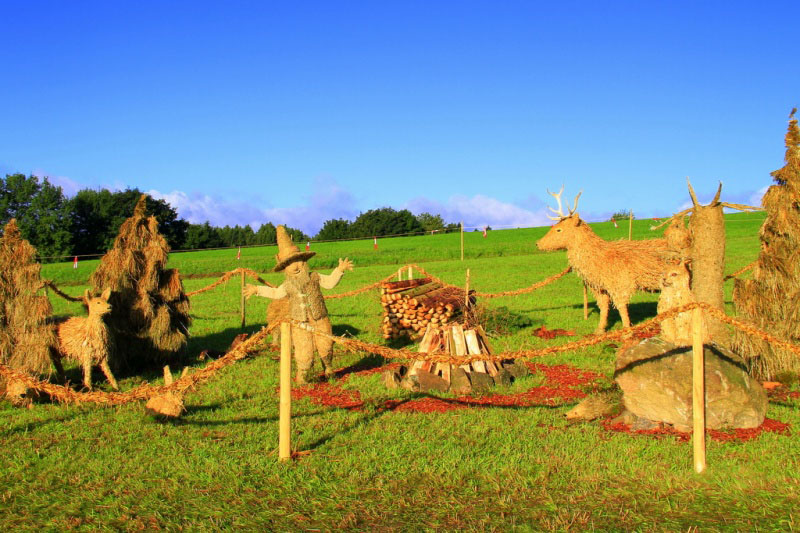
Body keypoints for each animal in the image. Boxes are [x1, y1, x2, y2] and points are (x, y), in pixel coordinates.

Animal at [536, 186, 672, 333]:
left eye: (558, 229)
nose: (538, 243)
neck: (597, 259)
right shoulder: (599, 287)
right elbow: (603, 307)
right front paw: (599, 330)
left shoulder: (620, 284)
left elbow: (621, 307)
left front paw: (626, 331)